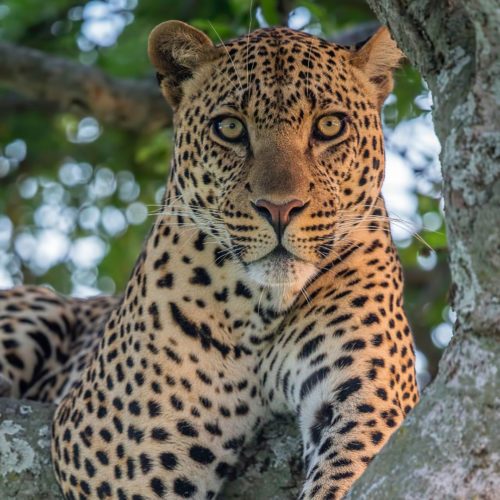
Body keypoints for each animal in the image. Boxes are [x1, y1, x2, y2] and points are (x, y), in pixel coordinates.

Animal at [0, 20, 420, 500]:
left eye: (330, 125)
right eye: (231, 128)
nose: (280, 208)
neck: (263, 309)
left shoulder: (370, 400)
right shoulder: (117, 453)